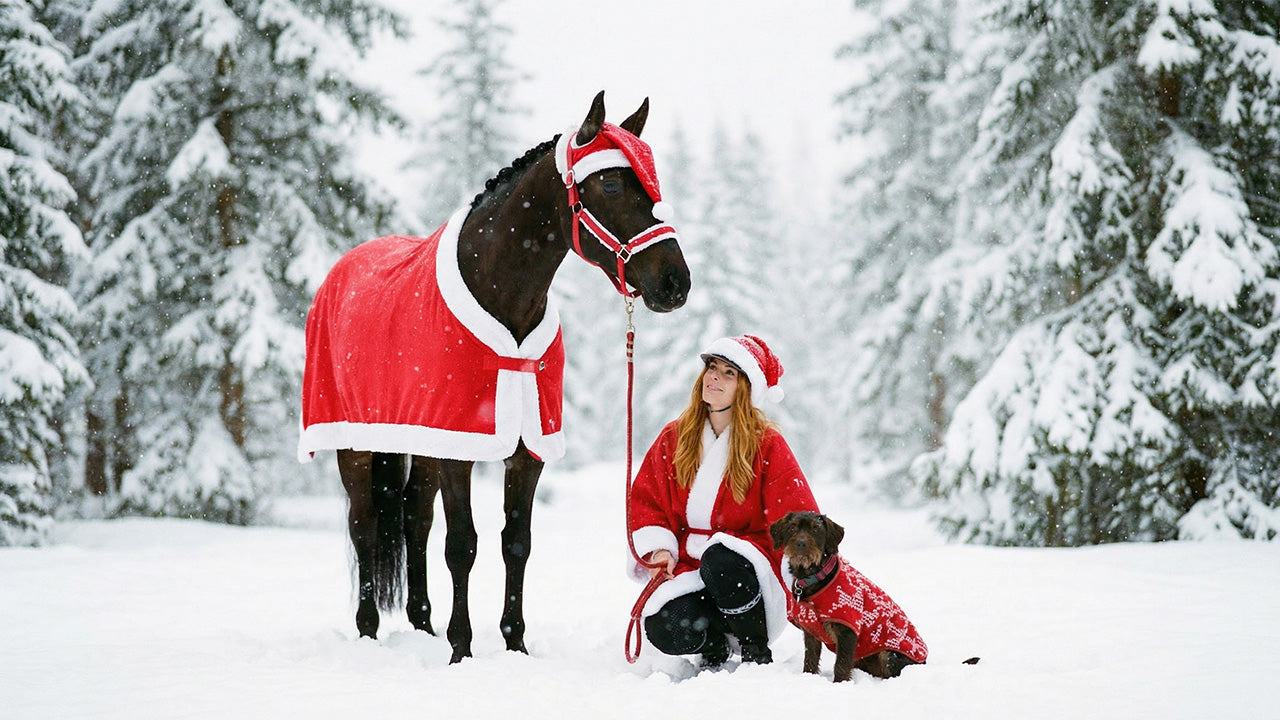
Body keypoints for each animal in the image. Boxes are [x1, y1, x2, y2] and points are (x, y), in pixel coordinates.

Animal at [299, 92, 690, 663]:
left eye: (652, 187)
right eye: (613, 186)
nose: (675, 282)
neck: (503, 296)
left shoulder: (525, 449)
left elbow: (515, 542)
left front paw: (515, 643)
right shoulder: (460, 446)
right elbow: (463, 544)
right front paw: (461, 648)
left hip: (421, 439)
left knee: (414, 518)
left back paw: (422, 625)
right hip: (356, 444)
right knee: (366, 525)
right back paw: (369, 630)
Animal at [770, 511, 929, 682]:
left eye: (816, 529)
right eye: (792, 527)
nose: (801, 544)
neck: (814, 576)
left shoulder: (847, 630)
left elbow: (841, 663)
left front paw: (839, 683)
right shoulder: (811, 631)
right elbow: (810, 659)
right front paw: (808, 677)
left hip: (889, 654)